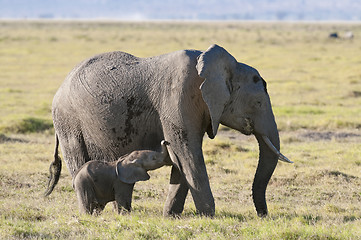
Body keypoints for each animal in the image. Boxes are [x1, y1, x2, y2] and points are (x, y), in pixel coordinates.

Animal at [45, 44, 292, 217]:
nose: (262, 215)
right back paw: (94, 213)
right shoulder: (178, 97)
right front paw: (209, 215)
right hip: (69, 123)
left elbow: (182, 158)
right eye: (258, 103)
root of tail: (58, 91)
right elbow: (187, 154)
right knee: (77, 160)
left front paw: (171, 216)